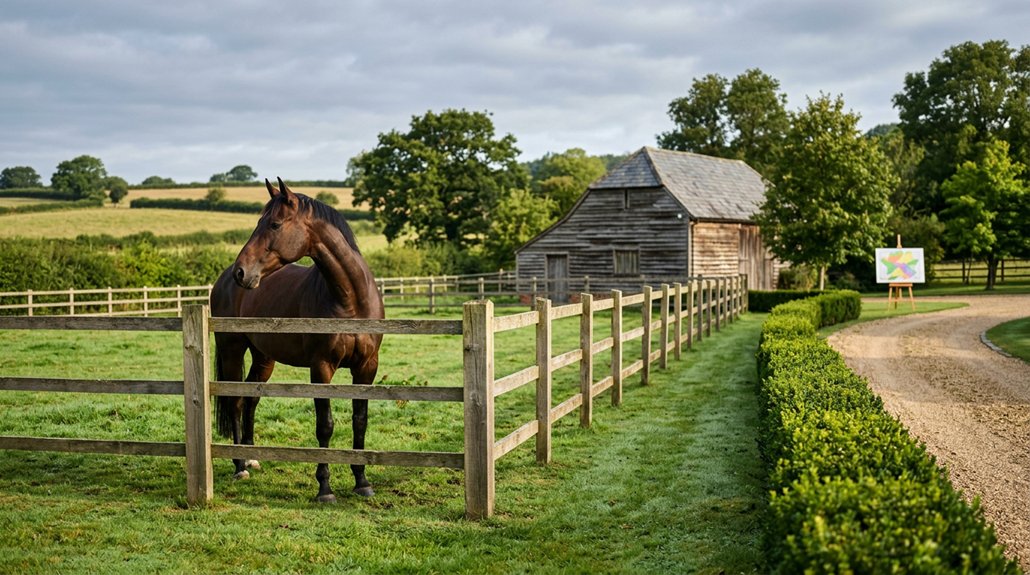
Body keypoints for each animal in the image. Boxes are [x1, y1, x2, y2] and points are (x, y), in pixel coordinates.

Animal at [210, 177, 384, 502]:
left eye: (275, 224)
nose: (243, 272)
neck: (351, 300)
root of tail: (223, 280)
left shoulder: (367, 367)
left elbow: (360, 420)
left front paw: (362, 481)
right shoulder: (322, 368)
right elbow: (325, 425)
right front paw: (325, 488)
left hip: (264, 357)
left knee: (251, 398)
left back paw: (251, 457)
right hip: (232, 349)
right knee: (236, 401)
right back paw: (239, 465)